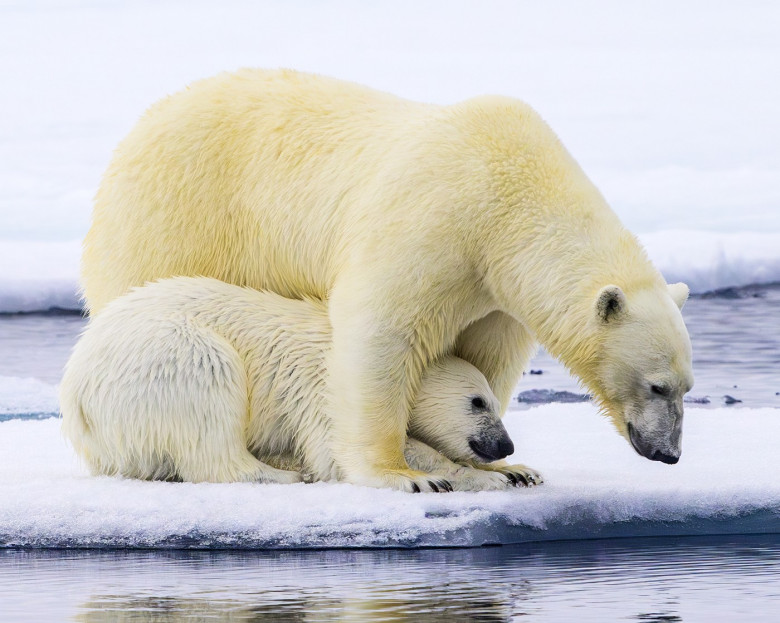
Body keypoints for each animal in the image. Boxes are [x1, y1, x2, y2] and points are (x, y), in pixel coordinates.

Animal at [80, 68, 696, 494]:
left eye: (687, 387)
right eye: (657, 385)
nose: (668, 453)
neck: (508, 200)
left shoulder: (496, 289)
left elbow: (484, 354)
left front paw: (506, 465)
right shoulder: (432, 224)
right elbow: (379, 335)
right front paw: (404, 473)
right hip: (175, 222)